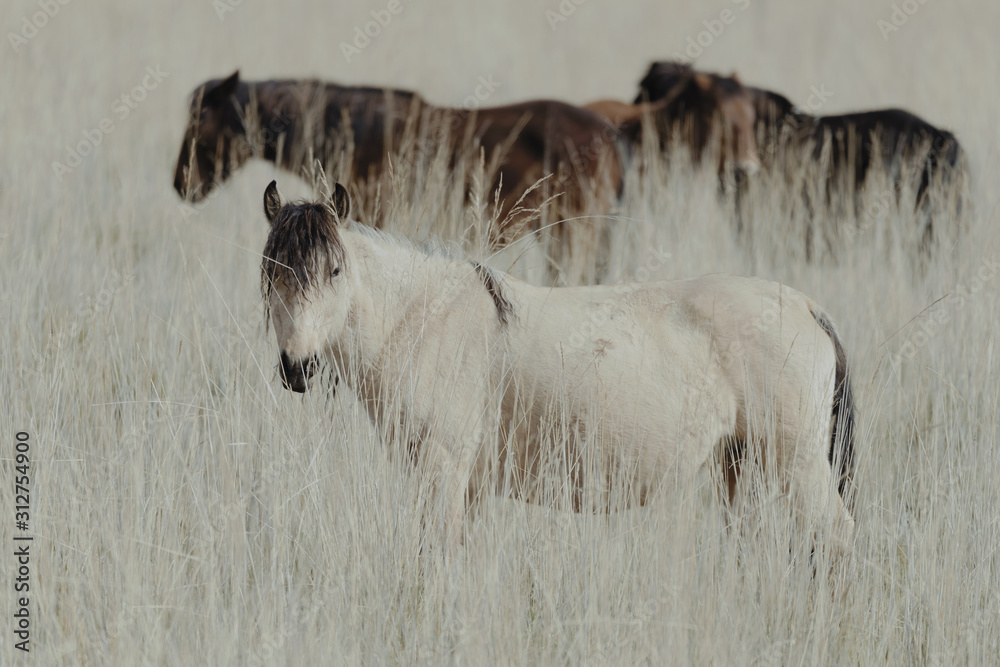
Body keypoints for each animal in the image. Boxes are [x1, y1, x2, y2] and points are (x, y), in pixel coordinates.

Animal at [259, 180, 858, 564]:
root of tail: (808, 307)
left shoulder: (443, 466)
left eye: (336, 270)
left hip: (799, 465)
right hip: (741, 467)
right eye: (271, 274)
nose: (298, 367)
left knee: (836, 543)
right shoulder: (468, 483)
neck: (422, 316)